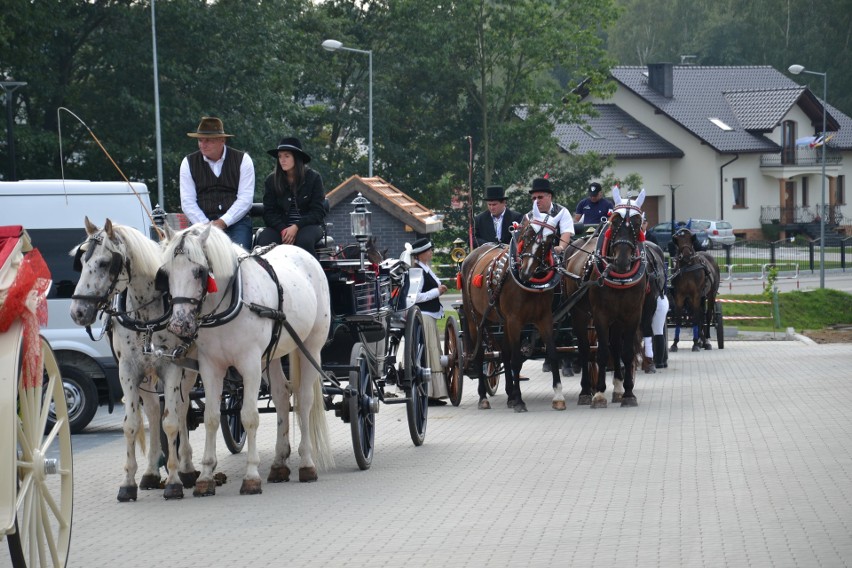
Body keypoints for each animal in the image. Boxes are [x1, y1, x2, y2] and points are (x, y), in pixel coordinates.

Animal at [69, 220, 197, 500]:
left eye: (106, 262)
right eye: (81, 261)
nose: (78, 312)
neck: (146, 314)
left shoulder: (172, 367)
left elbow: (171, 422)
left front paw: (174, 481)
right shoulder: (127, 370)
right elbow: (132, 423)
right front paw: (128, 482)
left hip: (189, 371)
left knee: (181, 411)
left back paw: (187, 468)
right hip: (146, 376)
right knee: (153, 410)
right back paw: (150, 472)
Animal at [160, 224, 332, 494]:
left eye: (199, 271)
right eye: (165, 272)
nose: (179, 324)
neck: (231, 302)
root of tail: (303, 253)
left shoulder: (250, 365)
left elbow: (249, 416)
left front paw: (251, 476)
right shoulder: (211, 368)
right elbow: (211, 417)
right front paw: (205, 477)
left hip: (311, 347)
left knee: (303, 401)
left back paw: (306, 463)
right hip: (272, 355)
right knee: (282, 397)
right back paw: (279, 463)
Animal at [460, 209, 564, 412]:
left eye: (549, 240)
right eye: (528, 234)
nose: (525, 271)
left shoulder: (544, 319)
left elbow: (553, 353)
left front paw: (558, 396)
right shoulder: (515, 320)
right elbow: (516, 360)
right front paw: (520, 401)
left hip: (502, 321)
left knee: (505, 353)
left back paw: (510, 395)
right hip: (474, 319)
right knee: (480, 355)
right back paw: (483, 397)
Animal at [564, 189, 648, 406]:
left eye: (637, 223)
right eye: (615, 220)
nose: (622, 261)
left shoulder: (632, 315)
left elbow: (626, 353)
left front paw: (628, 393)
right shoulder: (600, 315)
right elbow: (601, 352)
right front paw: (600, 393)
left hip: (616, 319)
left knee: (616, 348)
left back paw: (617, 389)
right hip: (579, 313)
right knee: (585, 349)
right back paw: (586, 391)